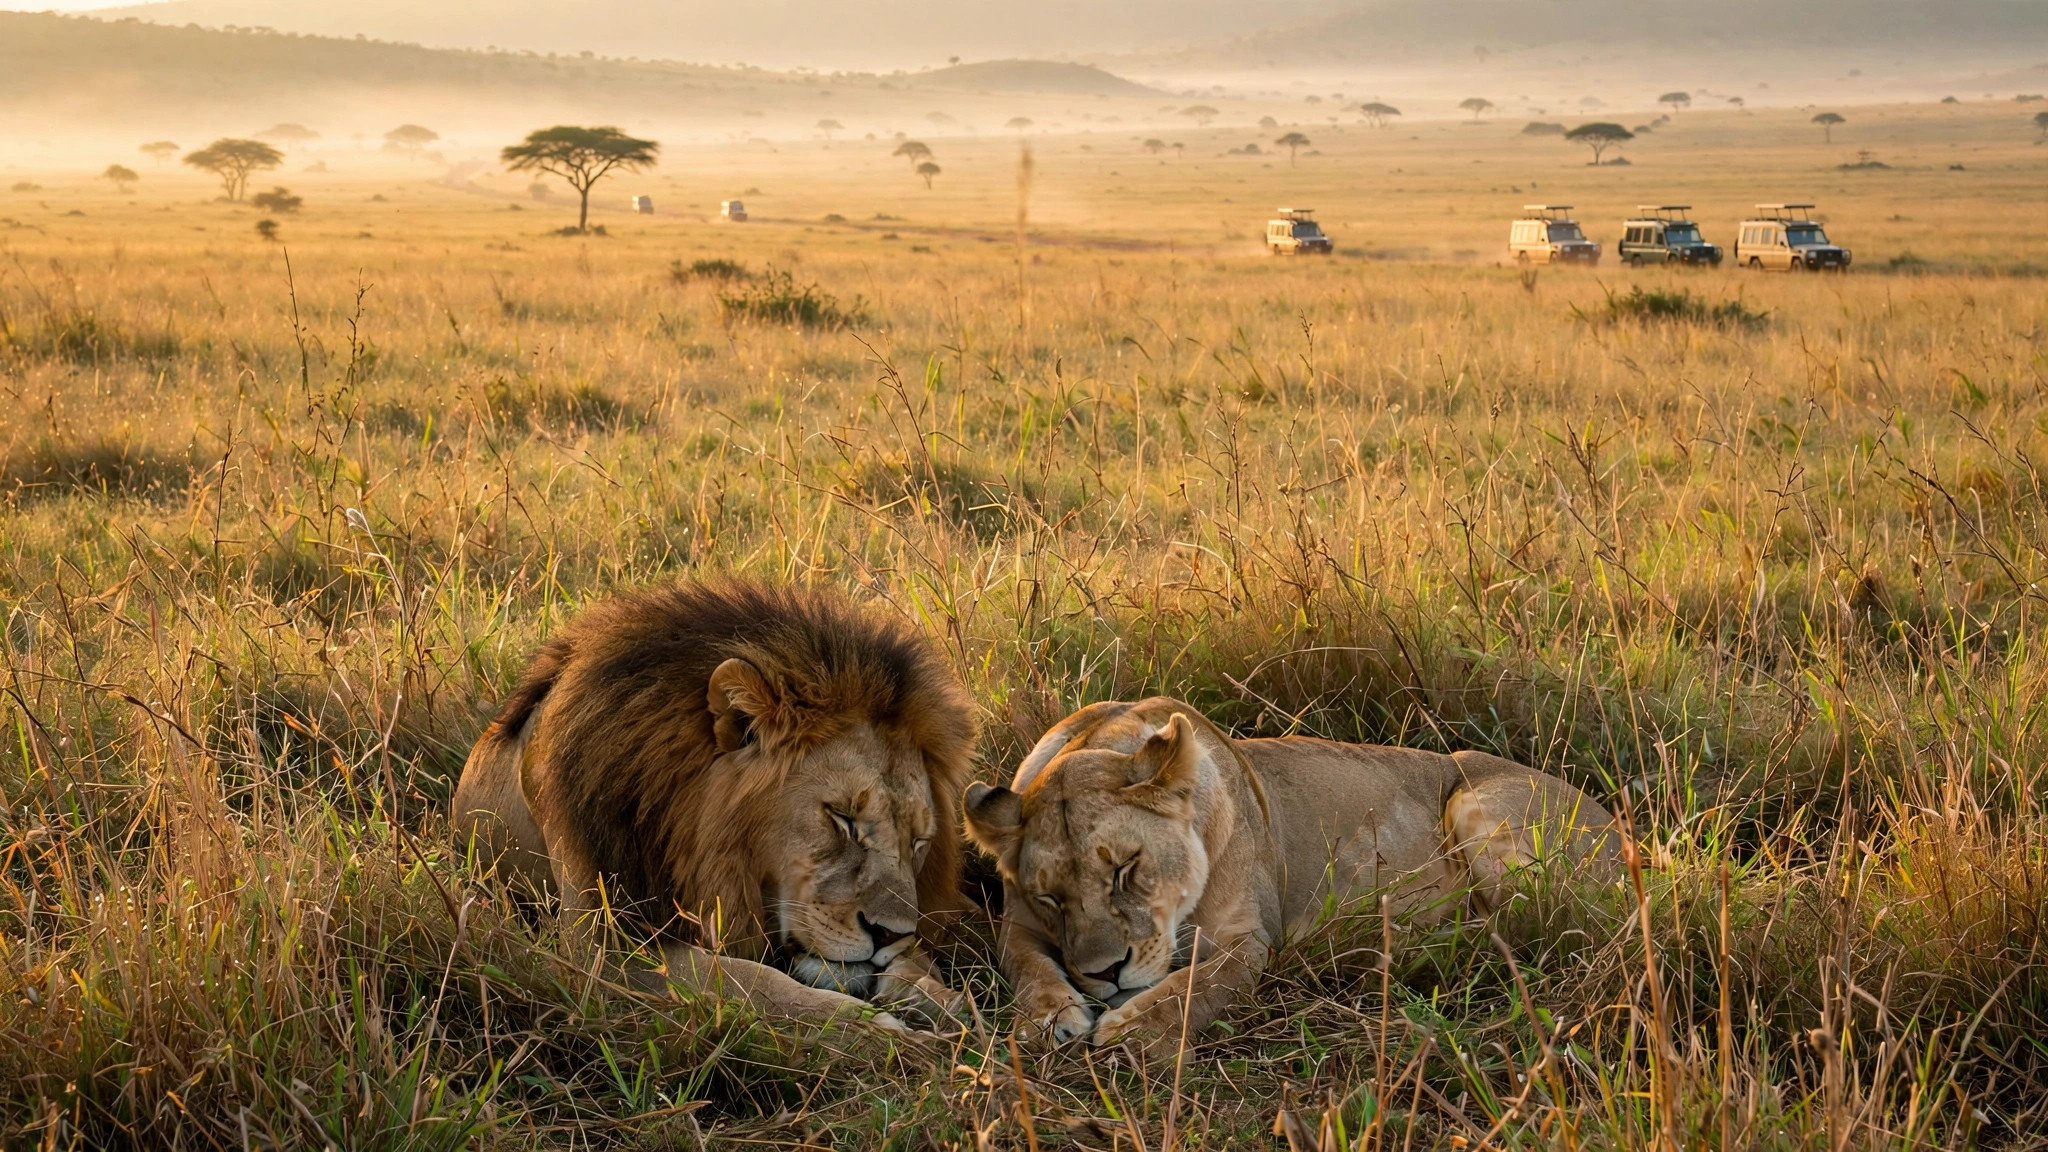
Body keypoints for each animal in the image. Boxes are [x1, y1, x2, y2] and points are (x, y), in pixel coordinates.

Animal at [453, 579, 978, 1032]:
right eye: (842, 818)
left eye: (919, 842)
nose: (890, 934)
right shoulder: (602, 947)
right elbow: (749, 981)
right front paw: (875, 1031)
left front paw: (936, 995)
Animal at [964, 698, 1618, 1053]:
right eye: (1051, 897)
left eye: (1128, 867)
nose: (1105, 973)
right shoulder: (1017, 922)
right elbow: (1025, 963)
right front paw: (1049, 1017)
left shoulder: (1249, 939)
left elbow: (1200, 985)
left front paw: (1131, 1028)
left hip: (1476, 808)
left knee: (1537, 933)